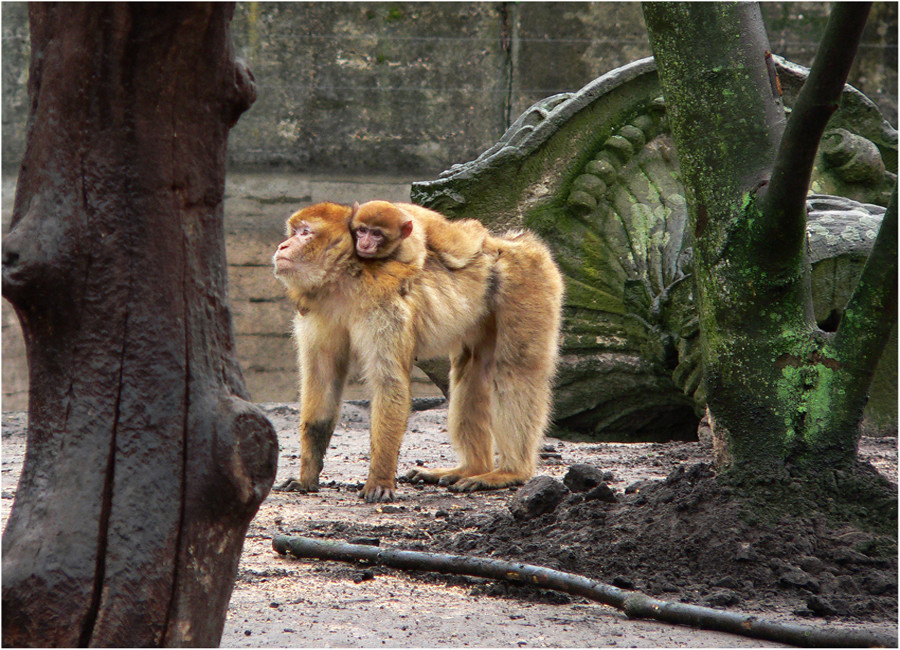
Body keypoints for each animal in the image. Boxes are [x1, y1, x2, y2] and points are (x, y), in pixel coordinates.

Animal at [348, 197, 488, 268]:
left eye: (377, 234)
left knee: (455, 253)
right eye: (362, 230)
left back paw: (477, 227)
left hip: (435, 226)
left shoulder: (406, 251)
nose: (364, 244)